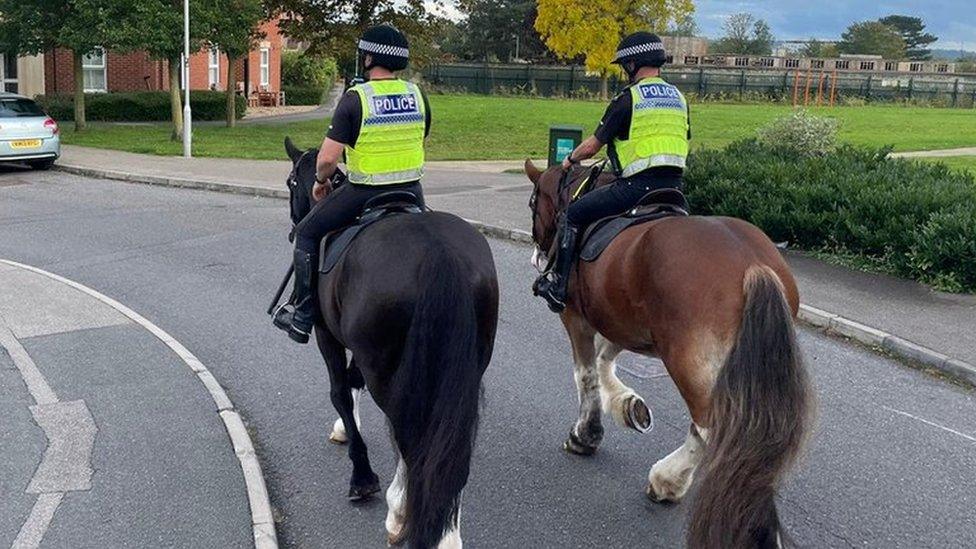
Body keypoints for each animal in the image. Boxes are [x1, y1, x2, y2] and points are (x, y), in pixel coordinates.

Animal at [280, 138, 496, 548]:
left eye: (290, 182)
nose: (294, 228)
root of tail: (437, 253)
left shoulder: (328, 335)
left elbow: (340, 391)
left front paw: (362, 477)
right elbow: (351, 384)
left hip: (385, 368)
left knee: (411, 436)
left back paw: (401, 512)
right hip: (467, 366)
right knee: (450, 445)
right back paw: (447, 531)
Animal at [528, 159, 816, 548]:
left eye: (533, 203)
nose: (540, 252)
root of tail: (754, 266)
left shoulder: (576, 316)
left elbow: (586, 373)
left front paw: (585, 435)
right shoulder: (627, 321)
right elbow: (605, 360)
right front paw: (627, 405)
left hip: (688, 365)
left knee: (711, 433)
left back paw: (668, 480)